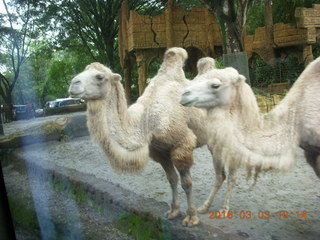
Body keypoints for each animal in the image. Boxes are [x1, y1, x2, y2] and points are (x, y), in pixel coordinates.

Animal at [67, 47, 210, 227]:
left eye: (99, 77)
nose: (73, 84)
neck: (147, 121)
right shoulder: (159, 151)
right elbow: (172, 179)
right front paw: (174, 211)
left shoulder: (181, 145)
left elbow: (187, 183)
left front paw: (191, 218)